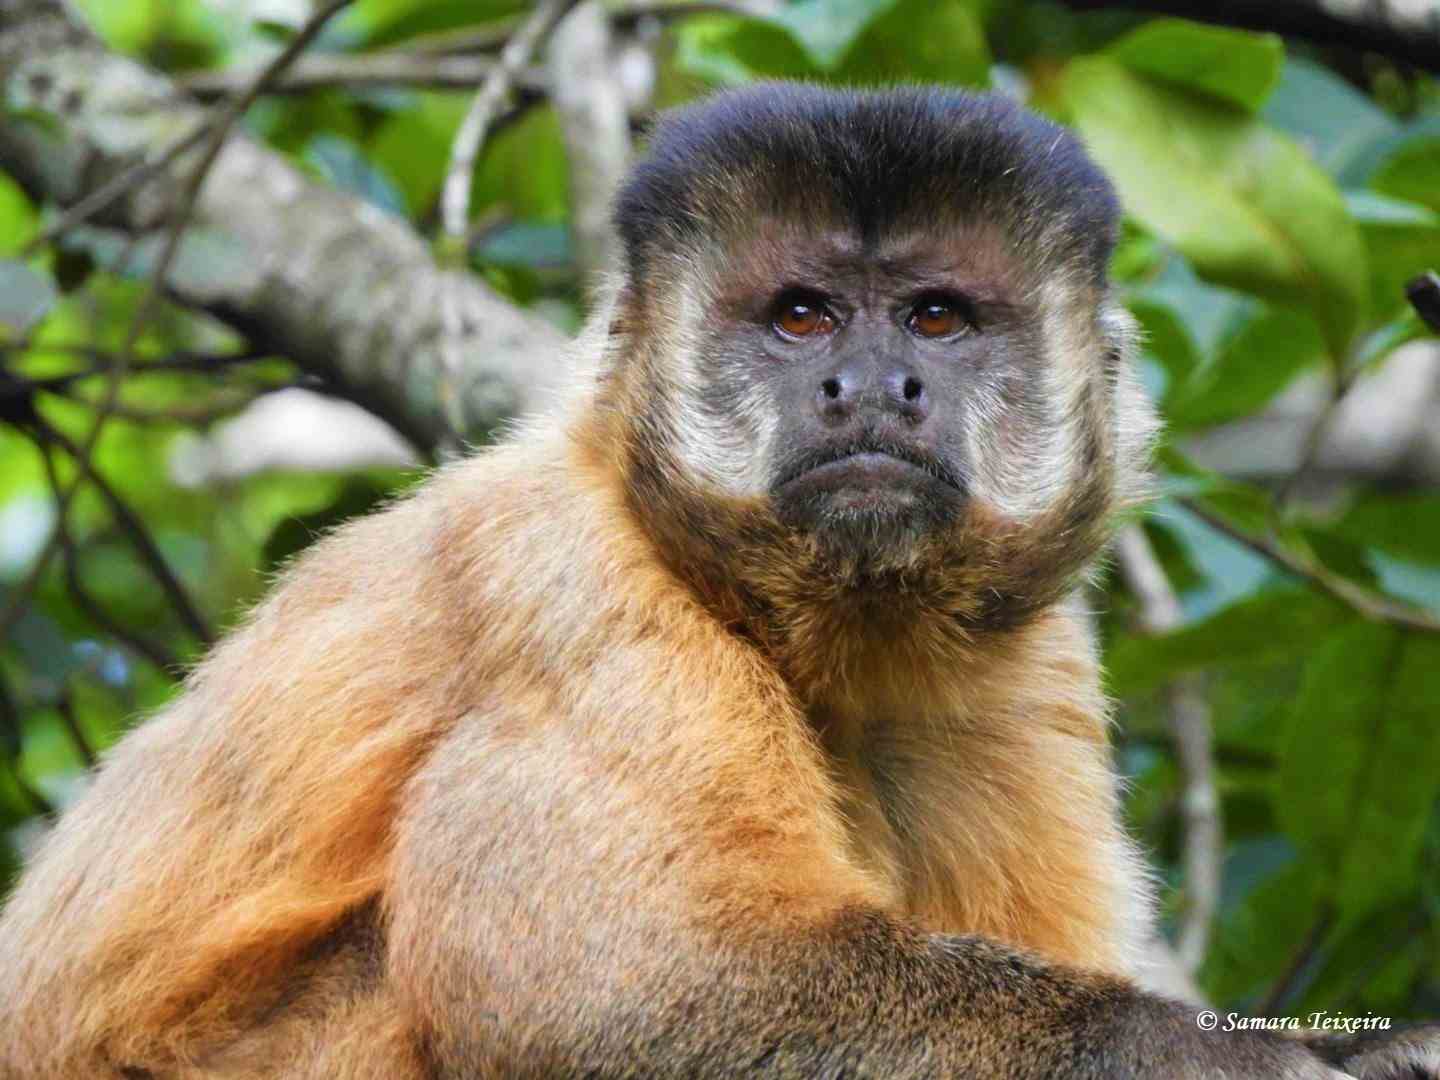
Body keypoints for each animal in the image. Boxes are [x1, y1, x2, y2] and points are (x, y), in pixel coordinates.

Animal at [2, 86, 1440, 1080]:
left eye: (935, 319)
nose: (872, 386)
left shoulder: (1027, 661)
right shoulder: (579, 585)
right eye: (802, 316)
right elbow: (607, 981)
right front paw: (1228, 1056)